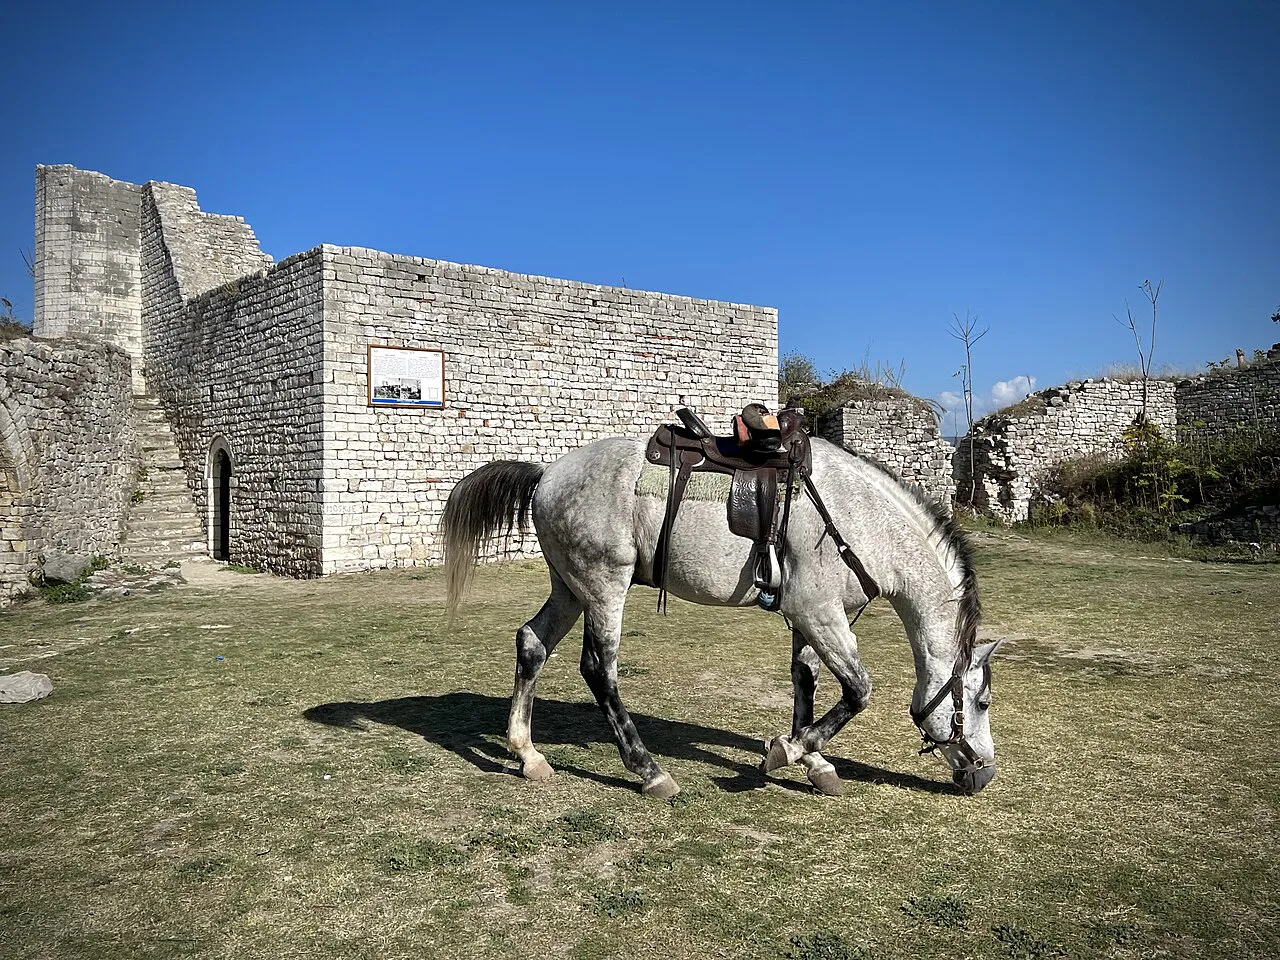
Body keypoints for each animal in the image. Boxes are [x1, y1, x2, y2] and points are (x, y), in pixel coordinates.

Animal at [442, 432, 1002, 799]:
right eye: (981, 702)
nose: (985, 774)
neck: (859, 520)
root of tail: (547, 475)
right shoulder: (819, 613)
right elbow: (858, 690)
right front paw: (787, 751)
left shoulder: (812, 618)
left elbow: (806, 682)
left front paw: (814, 762)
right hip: (603, 586)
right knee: (599, 669)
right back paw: (649, 771)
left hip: (570, 589)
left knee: (531, 644)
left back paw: (528, 755)